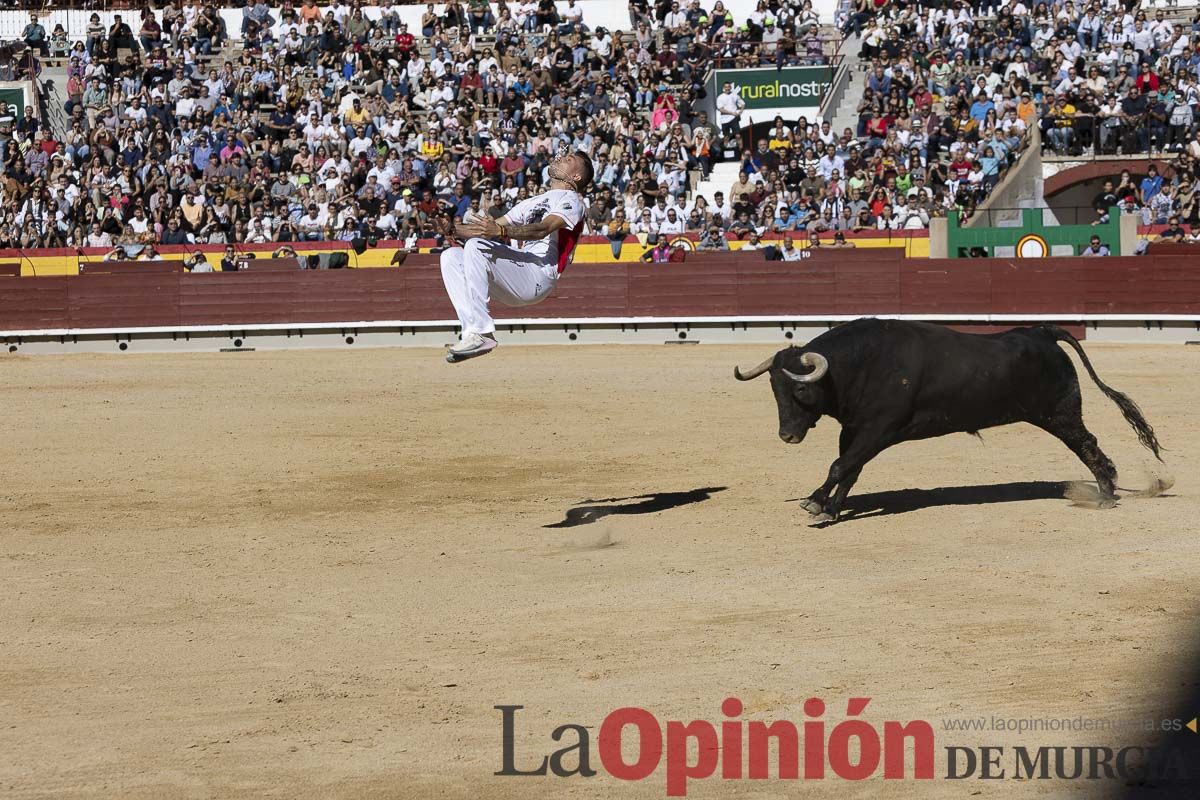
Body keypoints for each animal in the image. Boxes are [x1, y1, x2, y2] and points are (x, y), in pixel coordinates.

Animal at [729, 319, 1161, 525]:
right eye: (774, 390)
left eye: (800, 392)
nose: (787, 435)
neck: (854, 367)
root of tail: (1041, 332)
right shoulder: (855, 430)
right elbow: (850, 469)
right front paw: (832, 509)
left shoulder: (879, 429)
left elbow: (841, 465)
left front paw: (814, 502)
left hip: (1061, 413)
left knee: (1088, 445)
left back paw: (1106, 494)